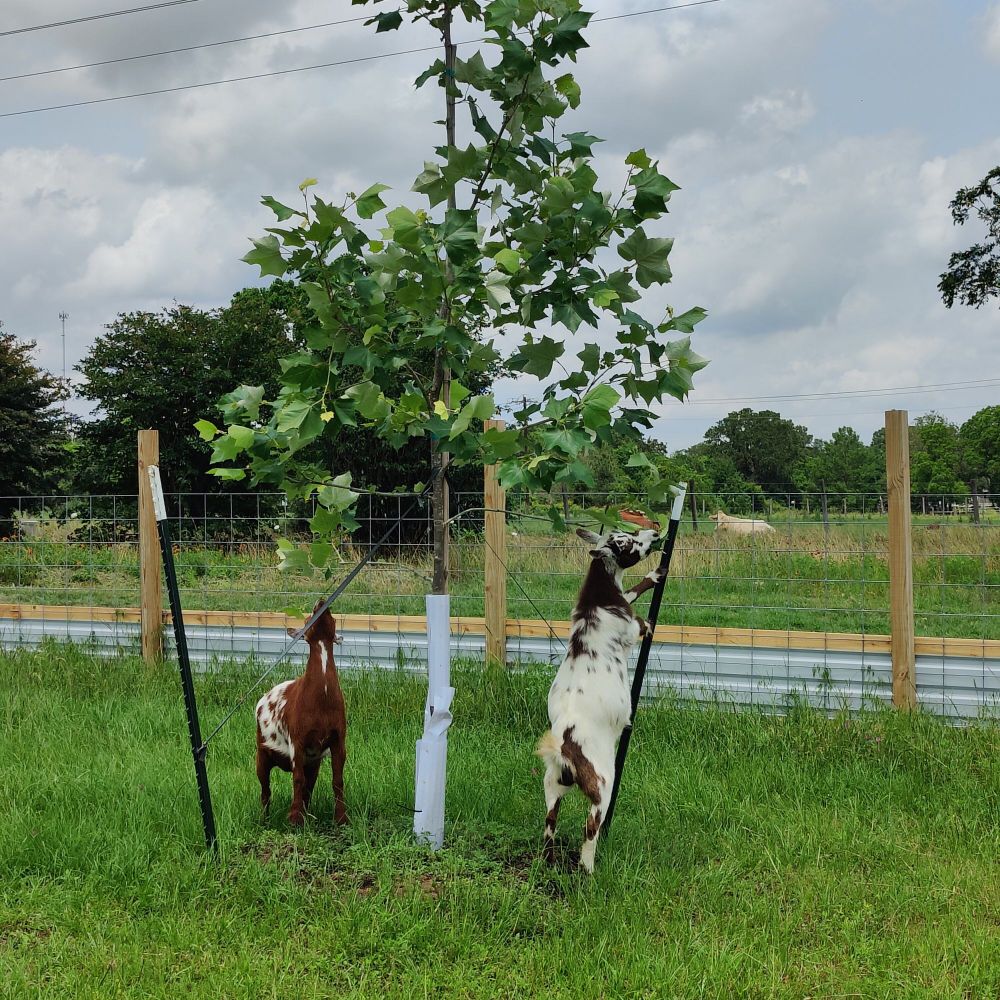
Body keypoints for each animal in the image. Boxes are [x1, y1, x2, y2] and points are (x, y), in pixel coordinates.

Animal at [255, 600, 348, 827]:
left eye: (332, 617)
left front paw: (341, 818)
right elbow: (297, 779)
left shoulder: (337, 739)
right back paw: (265, 820)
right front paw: (295, 819)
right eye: (308, 619)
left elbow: (337, 780)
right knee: (265, 790)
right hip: (261, 754)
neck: (321, 699)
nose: (321, 602)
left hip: (313, 762)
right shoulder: (297, 740)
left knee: (308, 787)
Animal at [536, 525, 662, 873]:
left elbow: (629, 592)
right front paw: (655, 575)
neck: (598, 600)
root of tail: (564, 748)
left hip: (552, 785)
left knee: (549, 823)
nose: (653, 533)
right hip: (602, 785)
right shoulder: (634, 627)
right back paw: (589, 869)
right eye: (628, 543)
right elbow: (639, 608)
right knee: (590, 827)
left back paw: (550, 863)